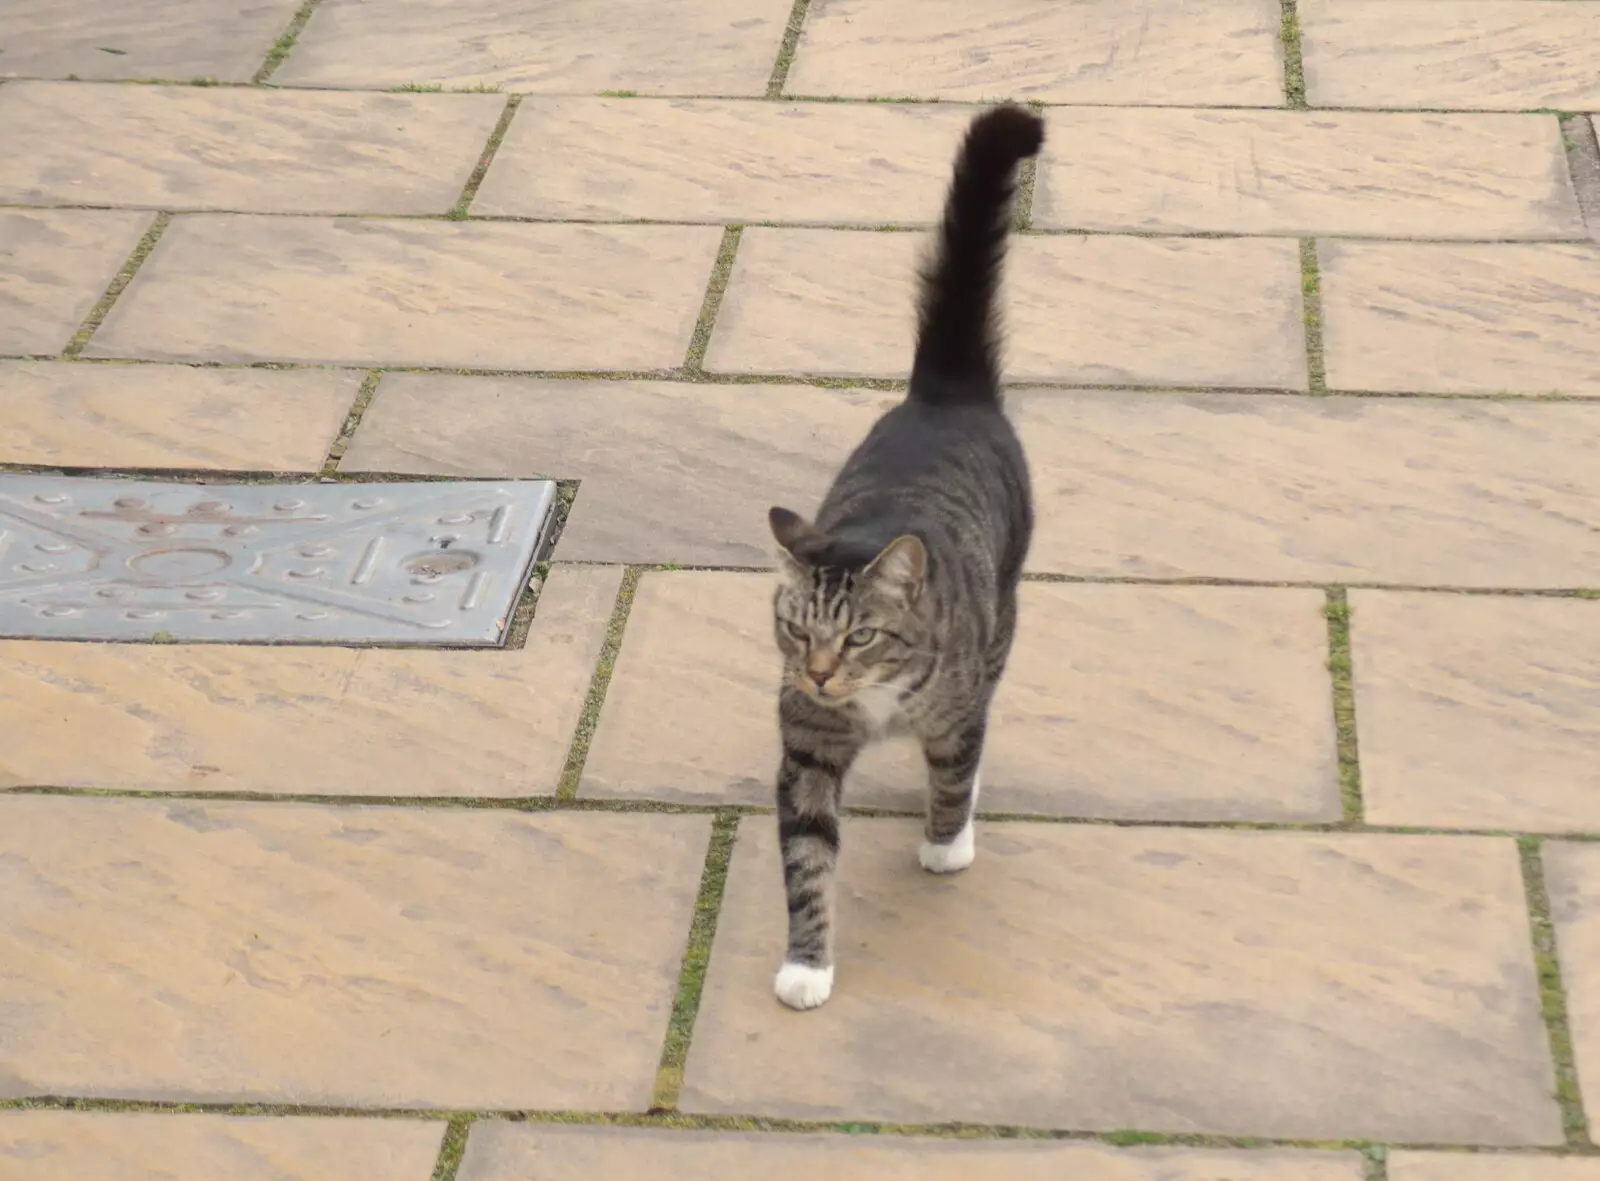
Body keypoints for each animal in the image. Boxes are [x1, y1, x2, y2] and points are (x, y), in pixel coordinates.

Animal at [764, 105, 1043, 1004]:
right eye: (797, 630)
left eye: (860, 635)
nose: (820, 674)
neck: (875, 701)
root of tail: (942, 392)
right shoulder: (808, 746)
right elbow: (808, 860)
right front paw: (807, 964)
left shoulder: (951, 706)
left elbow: (953, 768)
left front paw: (946, 844)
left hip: (1004, 613)